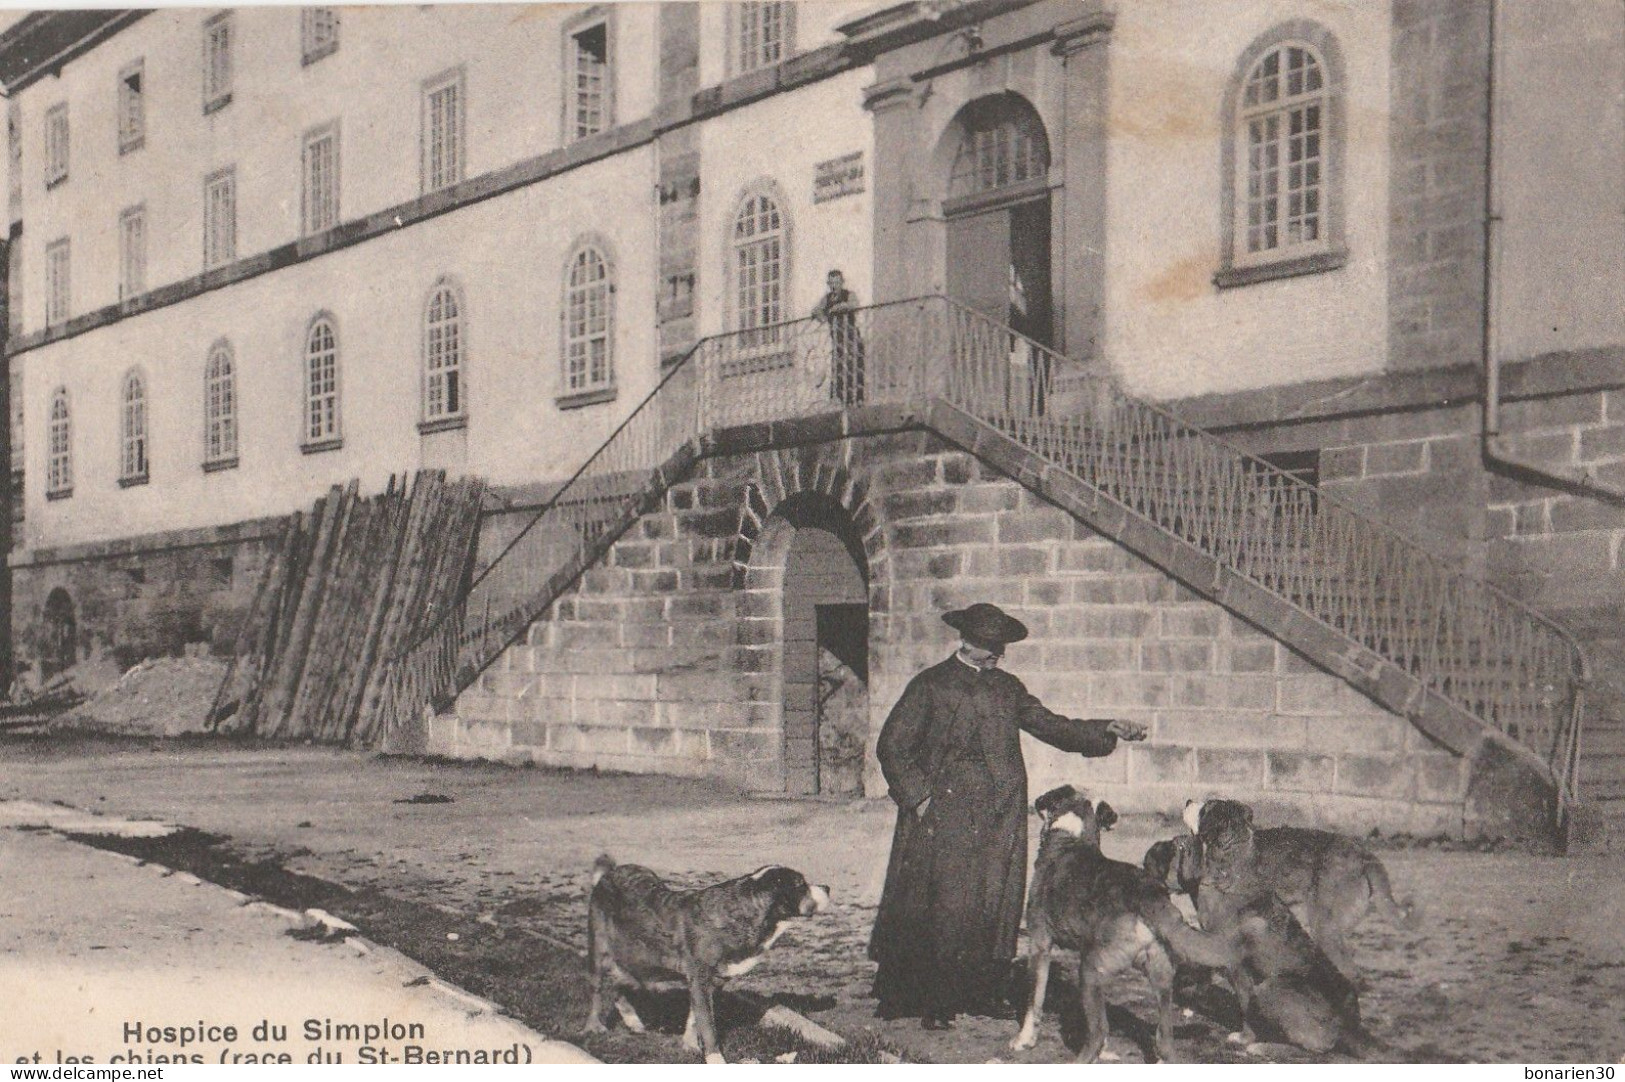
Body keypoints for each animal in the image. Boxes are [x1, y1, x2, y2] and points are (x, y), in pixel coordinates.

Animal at [585, 857, 832, 1059]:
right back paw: (593, 1027)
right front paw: (715, 1060)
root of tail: (609, 874)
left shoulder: (713, 981)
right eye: (800, 884)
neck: (744, 912)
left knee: (619, 985)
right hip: (601, 949)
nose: (827, 887)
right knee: (597, 990)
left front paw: (690, 1044)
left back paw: (632, 1021)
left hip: (637, 958)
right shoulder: (700, 978)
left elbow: (695, 1019)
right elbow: (708, 1027)